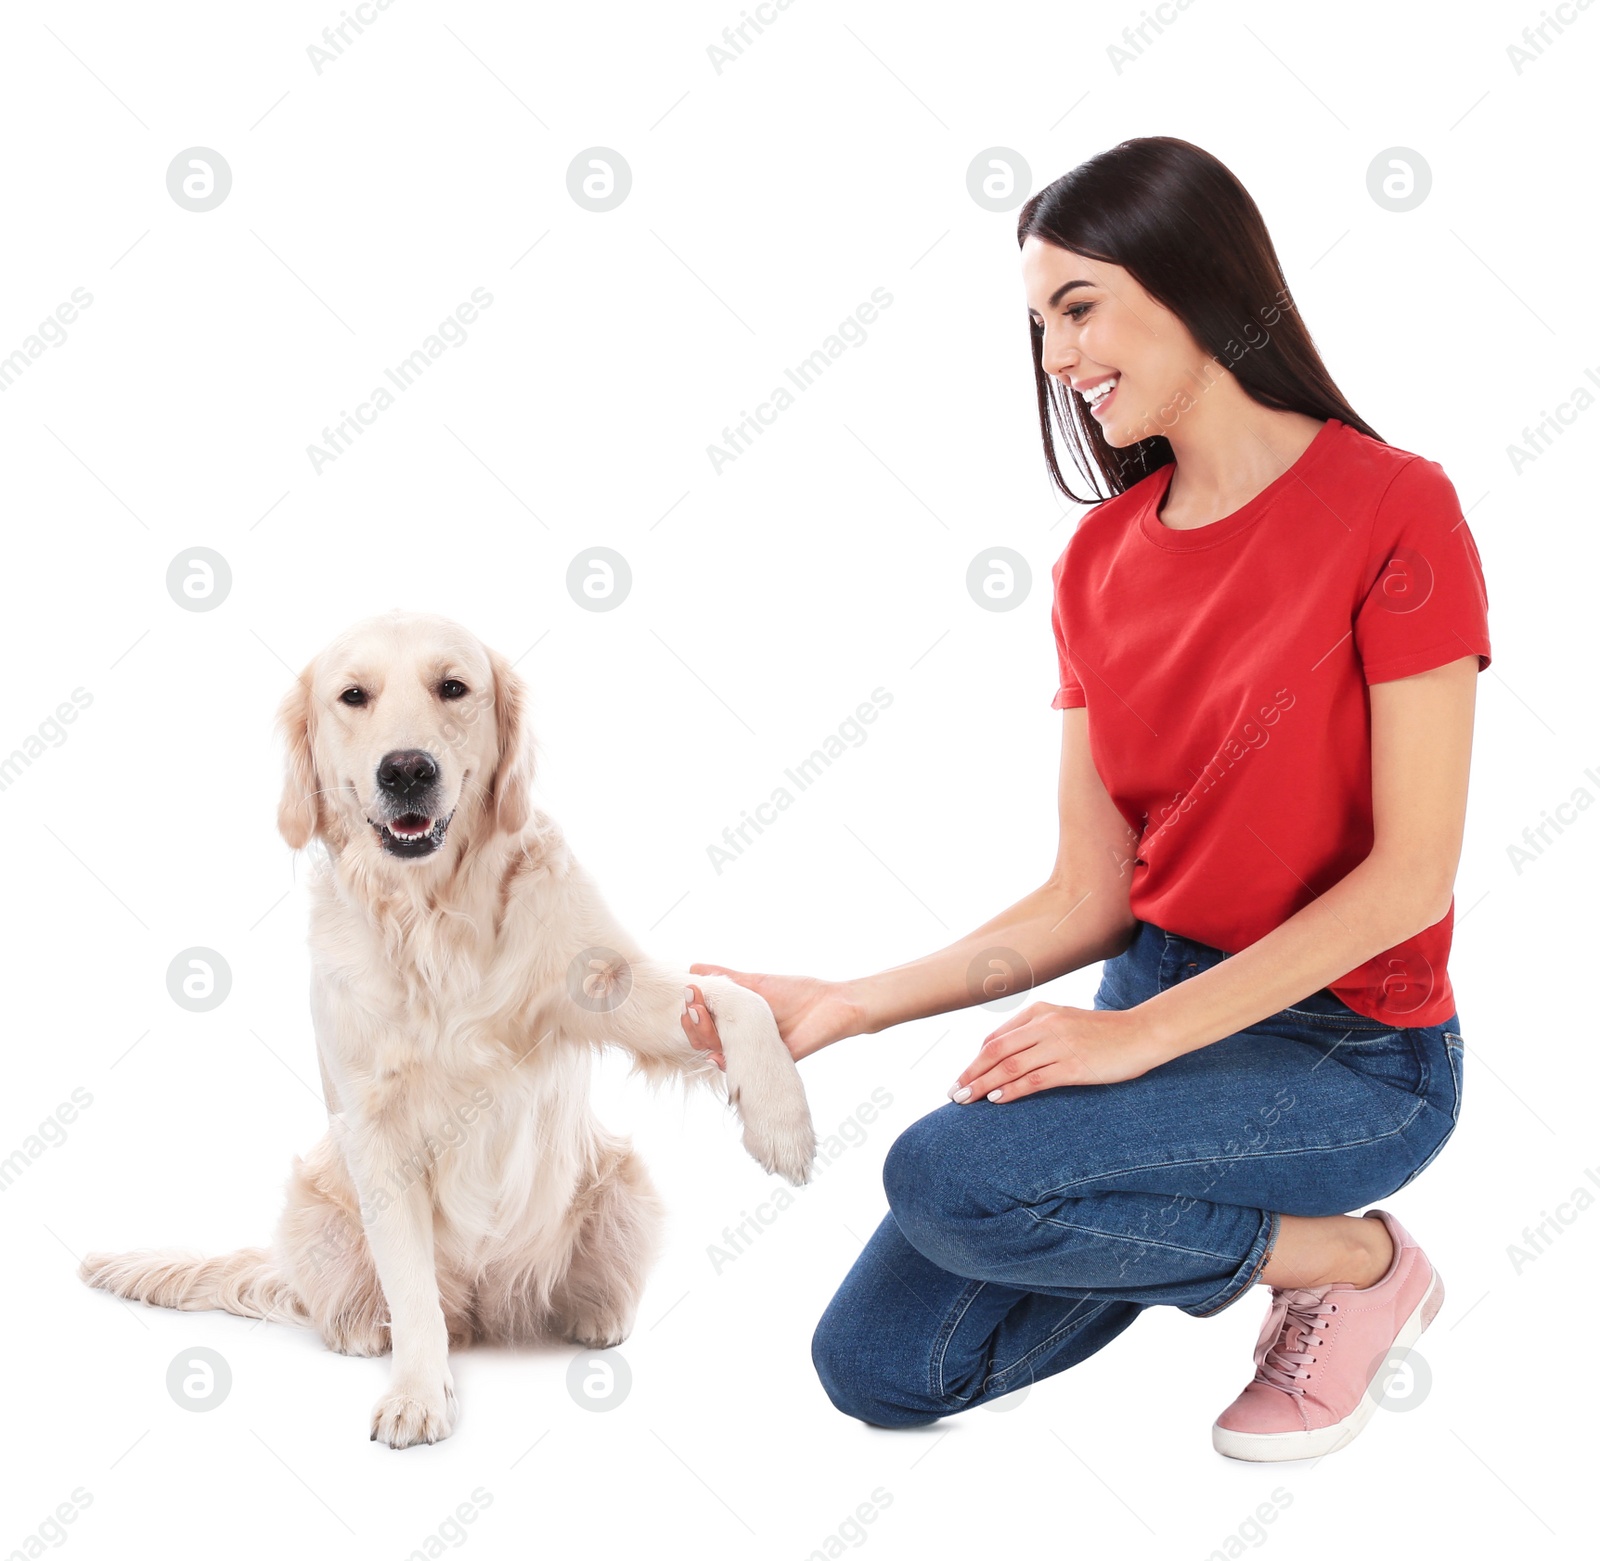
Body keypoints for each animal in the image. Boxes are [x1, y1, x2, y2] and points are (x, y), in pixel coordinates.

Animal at [81, 610, 819, 1452]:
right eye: (354, 695)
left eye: (454, 687)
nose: (407, 770)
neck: (435, 914)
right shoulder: (372, 1124)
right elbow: (410, 1285)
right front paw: (416, 1392)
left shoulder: (606, 983)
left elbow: (733, 992)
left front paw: (782, 1121)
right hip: (316, 1204)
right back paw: (363, 1328)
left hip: (623, 1178)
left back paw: (594, 1312)